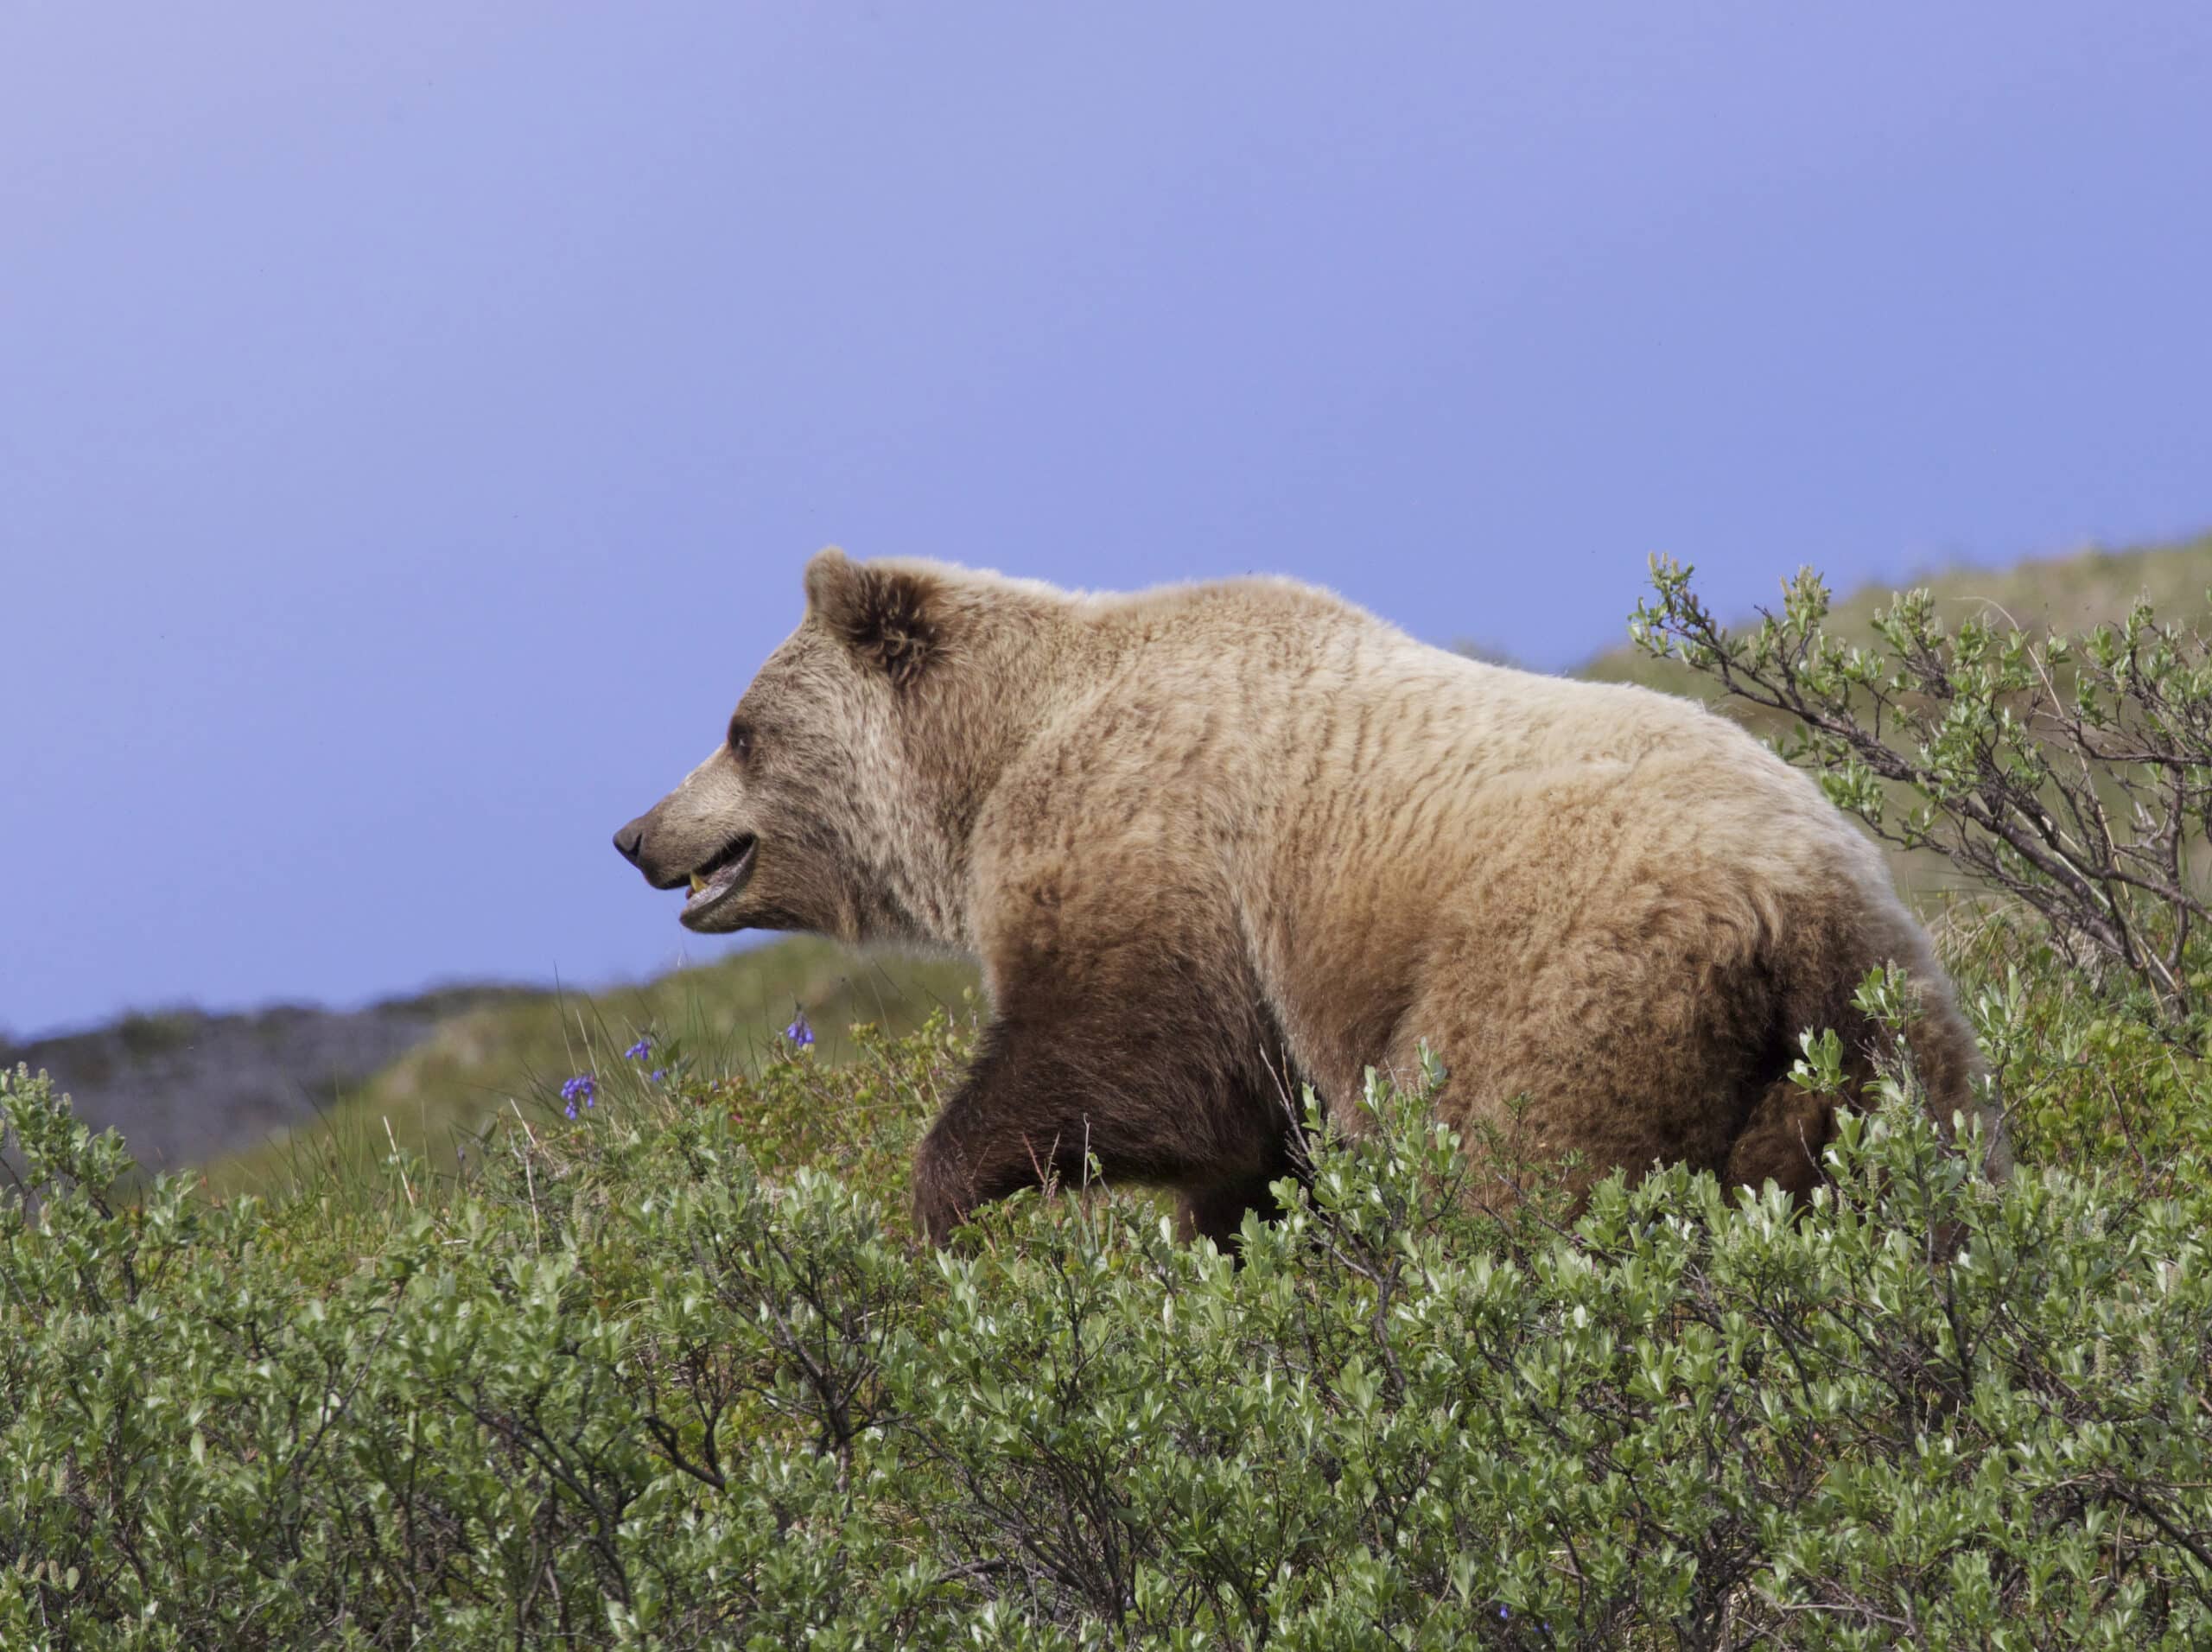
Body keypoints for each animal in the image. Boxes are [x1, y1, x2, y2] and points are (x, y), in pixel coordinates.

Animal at [614, 547, 2007, 1244]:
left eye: (739, 729)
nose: (636, 833)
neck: (988, 767)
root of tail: (1793, 908)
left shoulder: (1152, 843)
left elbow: (1132, 1058)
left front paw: (936, 1204)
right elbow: (1255, 1154)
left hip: (1564, 988)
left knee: (1505, 1181)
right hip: (1882, 1054)